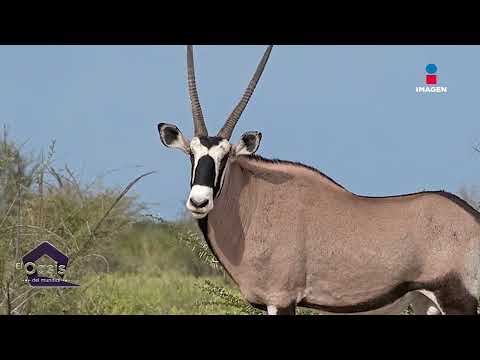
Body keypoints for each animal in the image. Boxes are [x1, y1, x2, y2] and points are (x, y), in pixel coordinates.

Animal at [158, 45, 480, 316]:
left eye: (225, 157)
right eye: (192, 154)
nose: (199, 201)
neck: (254, 201)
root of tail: (472, 216)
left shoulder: (281, 298)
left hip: (457, 300)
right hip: (426, 302)